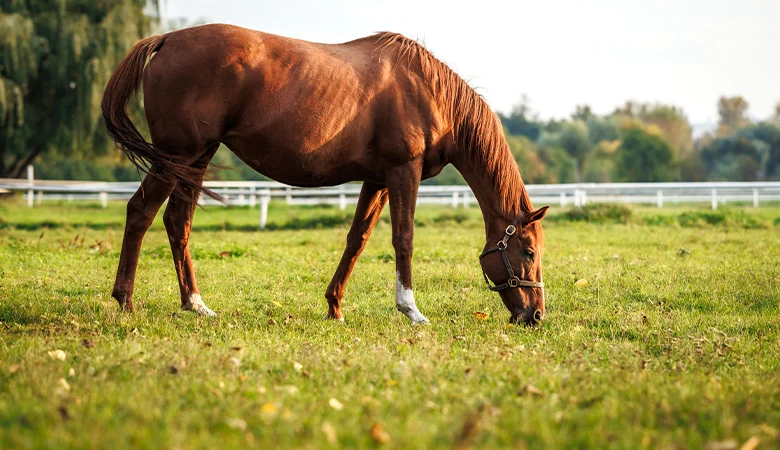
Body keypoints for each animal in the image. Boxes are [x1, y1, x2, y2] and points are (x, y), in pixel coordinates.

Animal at [101, 24, 549, 326]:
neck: (429, 91)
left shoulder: (378, 180)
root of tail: (166, 39)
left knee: (177, 222)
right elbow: (403, 238)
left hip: (195, 160)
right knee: (140, 212)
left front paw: (334, 305)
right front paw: (411, 310)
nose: (535, 315)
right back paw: (125, 301)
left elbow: (357, 240)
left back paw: (195, 303)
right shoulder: (404, 171)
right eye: (528, 252)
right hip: (177, 156)